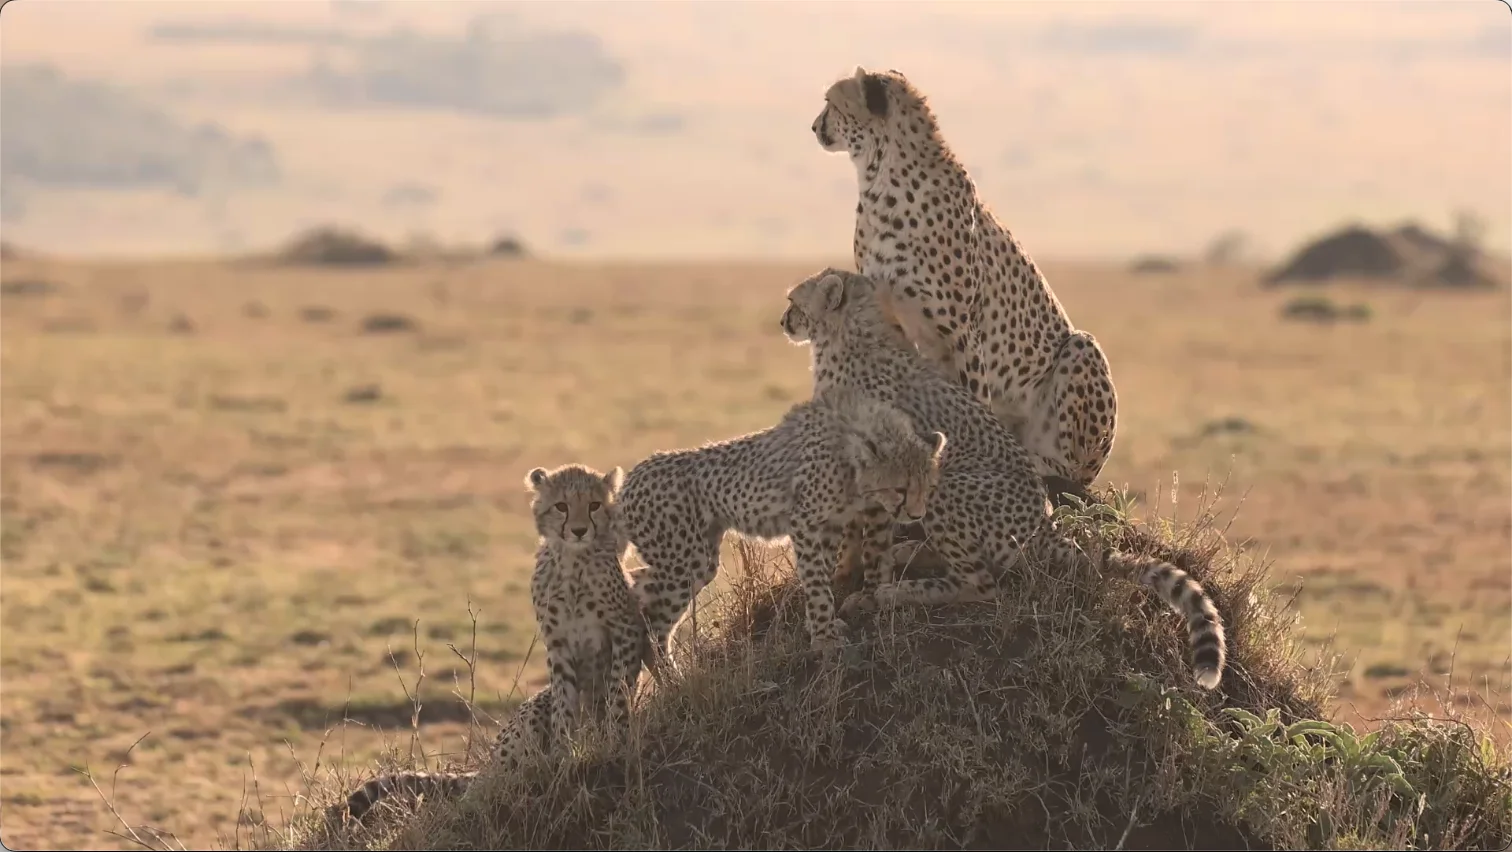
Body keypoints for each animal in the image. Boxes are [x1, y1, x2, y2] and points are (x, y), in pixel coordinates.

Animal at [329, 463, 648, 824]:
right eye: (562, 506)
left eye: (594, 505)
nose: (579, 530)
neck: (573, 562)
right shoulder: (558, 644)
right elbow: (565, 705)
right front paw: (567, 754)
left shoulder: (624, 629)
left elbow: (618, 693)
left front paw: (613, 741)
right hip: (528, 719)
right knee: (491, 782)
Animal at [620, 385, 946, 662]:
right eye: (900, 489)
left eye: (928, 488)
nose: (916, 515)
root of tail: (629, 481)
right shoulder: (805, 521)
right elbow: (816, 579)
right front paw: (825, 640)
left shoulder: (829, 525)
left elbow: (822, 573)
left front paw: (818, 625)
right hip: (686, 560)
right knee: (654, 628)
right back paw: (671, 679)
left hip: (693, 559)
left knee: (640, 590)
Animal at [780, 268, 1225, 690]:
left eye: (793, 301)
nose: (784, 321)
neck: (850, 335)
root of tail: (1043, 521)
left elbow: (863, 535)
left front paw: (858, 584)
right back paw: (909, 555)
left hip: (948, 489)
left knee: (982, 586)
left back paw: (896, 592)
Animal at [811, 66, 1118, 500]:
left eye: (832, 103)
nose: (814, 126)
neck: (880, 177)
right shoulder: (895, 321)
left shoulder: (961, 331)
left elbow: (973, 399)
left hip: (1081, 350)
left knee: (1070, 475)